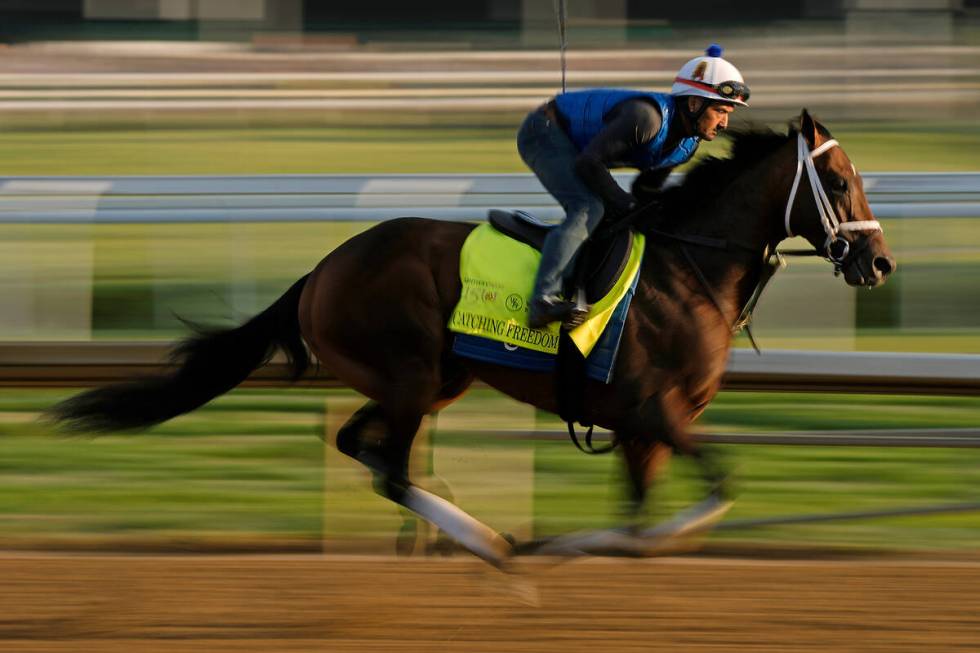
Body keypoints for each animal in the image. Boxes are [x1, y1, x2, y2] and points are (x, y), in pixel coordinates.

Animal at [51, 111, 896, 564]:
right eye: (839, 180)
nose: (880, 261)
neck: (689, 267)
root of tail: (322, 268)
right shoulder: (654, 410)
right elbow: (718, 482)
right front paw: (559, 546)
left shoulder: (641, 428)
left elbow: (637, 517)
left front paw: (598, 546)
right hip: (411, 371)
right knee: (389, 466)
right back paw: (489, 543)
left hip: (431, 379)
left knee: (363, 446)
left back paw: (459, 527)